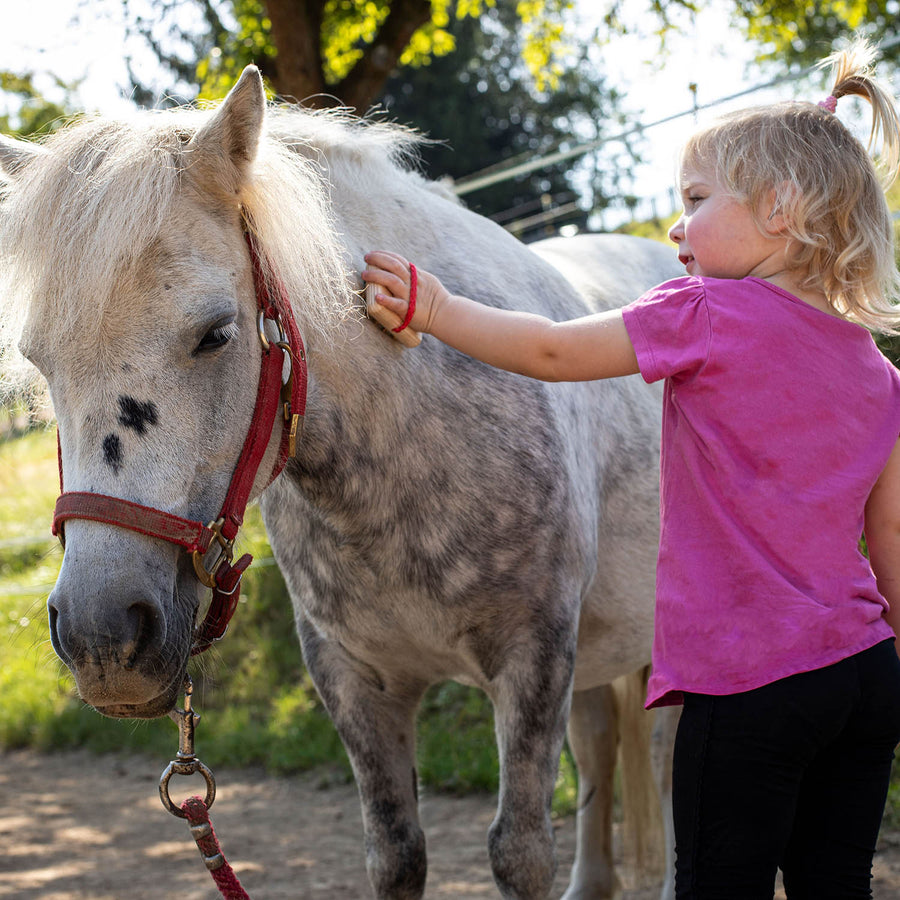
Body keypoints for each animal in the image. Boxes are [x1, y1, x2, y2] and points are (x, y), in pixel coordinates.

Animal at [0, 67, 676, 896]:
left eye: (215, 333)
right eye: (41, 360)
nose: (103, 634)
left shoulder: (534, 660)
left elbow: (519, 852)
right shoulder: (354, 682)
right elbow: (395, 851)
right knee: (602, 745)